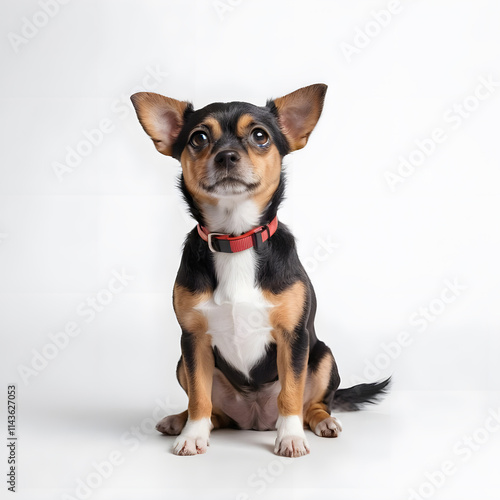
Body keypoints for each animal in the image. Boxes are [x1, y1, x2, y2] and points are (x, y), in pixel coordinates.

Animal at [131, 83, 388, 458]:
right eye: (198, 138)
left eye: (259, 136)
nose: (226, 156)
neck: (235, 238)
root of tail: (253, 419)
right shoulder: (193, 339)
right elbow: (199, 397)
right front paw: (193, 435)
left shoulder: (292, 338)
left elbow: (291, 394)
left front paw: (290, 438)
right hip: (183, 363)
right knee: (213, 410)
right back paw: (180, 421)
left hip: (322, 356)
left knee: (314, 404)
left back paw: (322, 421)